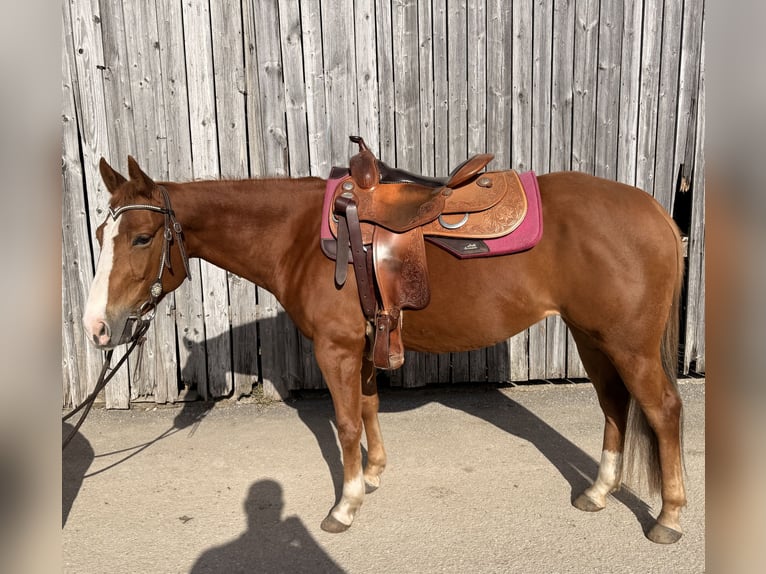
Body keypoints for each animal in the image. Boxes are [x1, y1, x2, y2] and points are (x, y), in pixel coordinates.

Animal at [81, 154, 686, 544]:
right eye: (101, 234)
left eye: (141, 238)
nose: (97, 327)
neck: (298, 236)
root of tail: (657, 211)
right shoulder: (366, 343)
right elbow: (368, 409)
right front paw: (372, 475)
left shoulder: (336, 349)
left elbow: (347, 422)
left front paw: (345, 504)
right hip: (593, 337)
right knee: (614, 405)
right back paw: (599, 492)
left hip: (628, 345)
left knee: (662, 412)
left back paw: (668, 518)